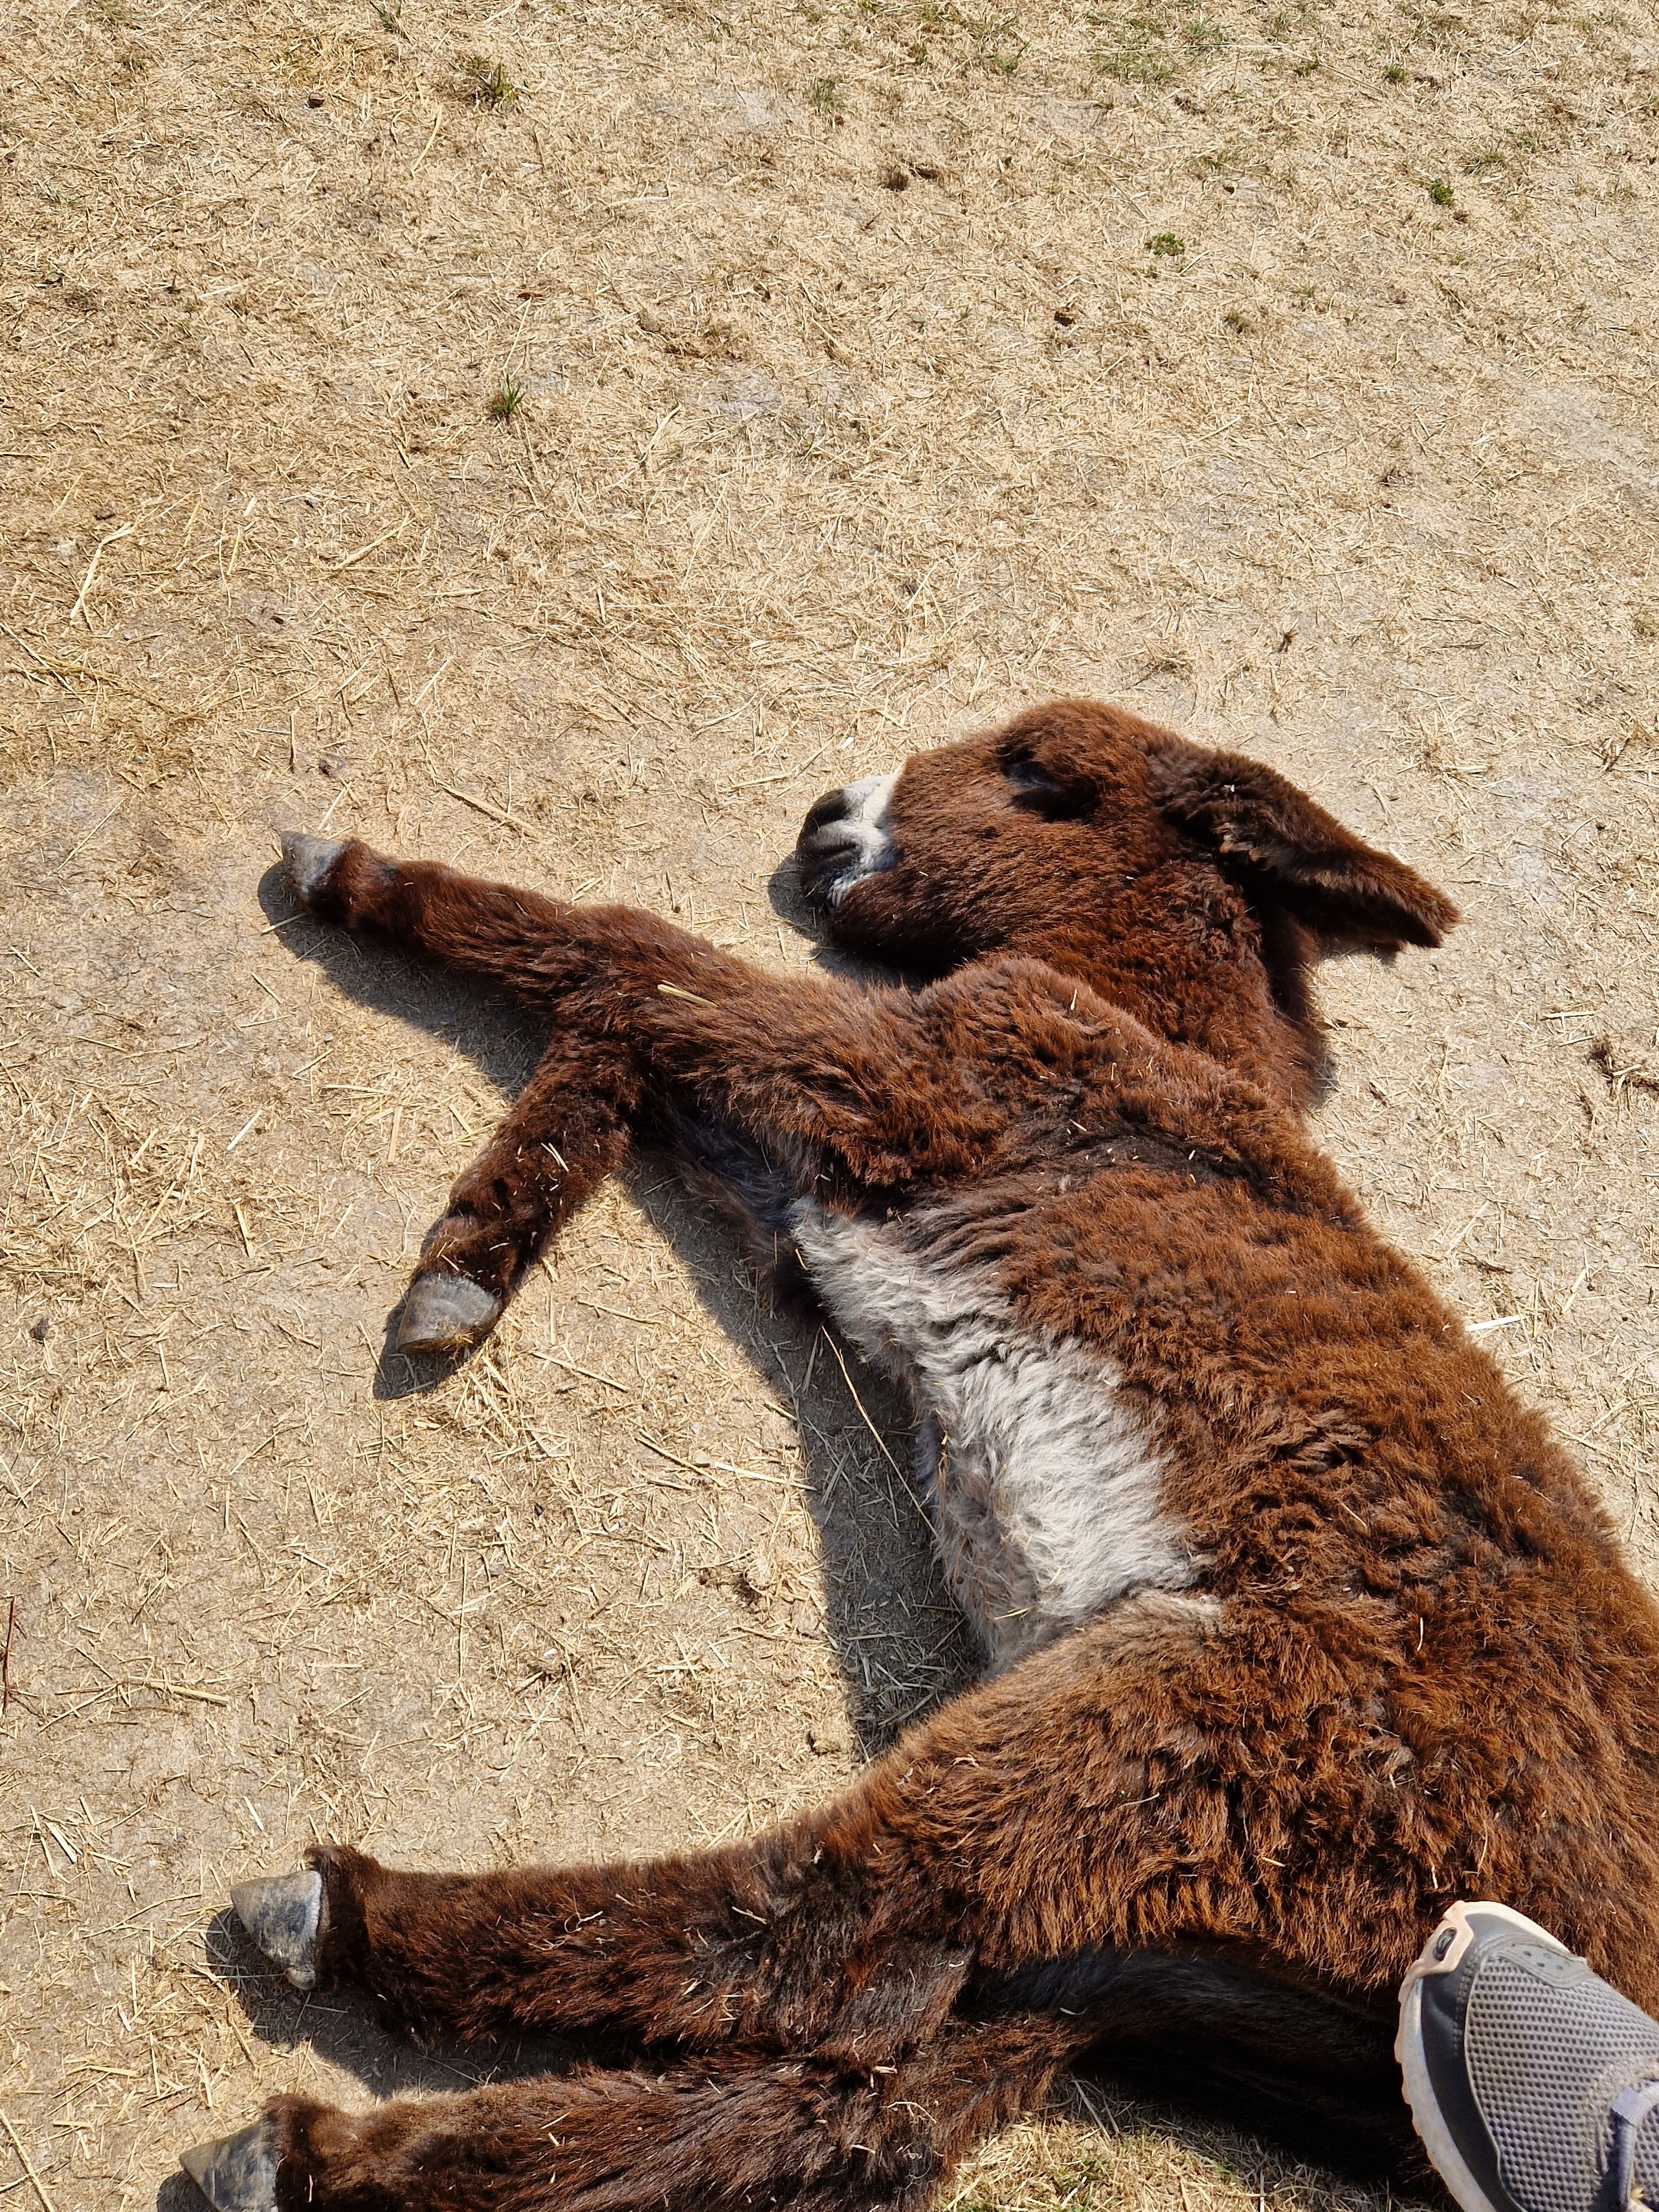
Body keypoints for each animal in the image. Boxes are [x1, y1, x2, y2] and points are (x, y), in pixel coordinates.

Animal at [181, 698, 1659, 2212]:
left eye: (1040, 777)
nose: (825, 817)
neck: (1142, 1019)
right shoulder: (816, 1188)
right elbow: (634, 1007)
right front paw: (475, 1254)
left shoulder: (900, 1081)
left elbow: (630, 952)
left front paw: (348, 876)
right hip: (1122, 1954)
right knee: (843, 2092)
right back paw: (313, 2156)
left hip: (1161, 1730)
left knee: (804, 1930)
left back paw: (339, 1919)